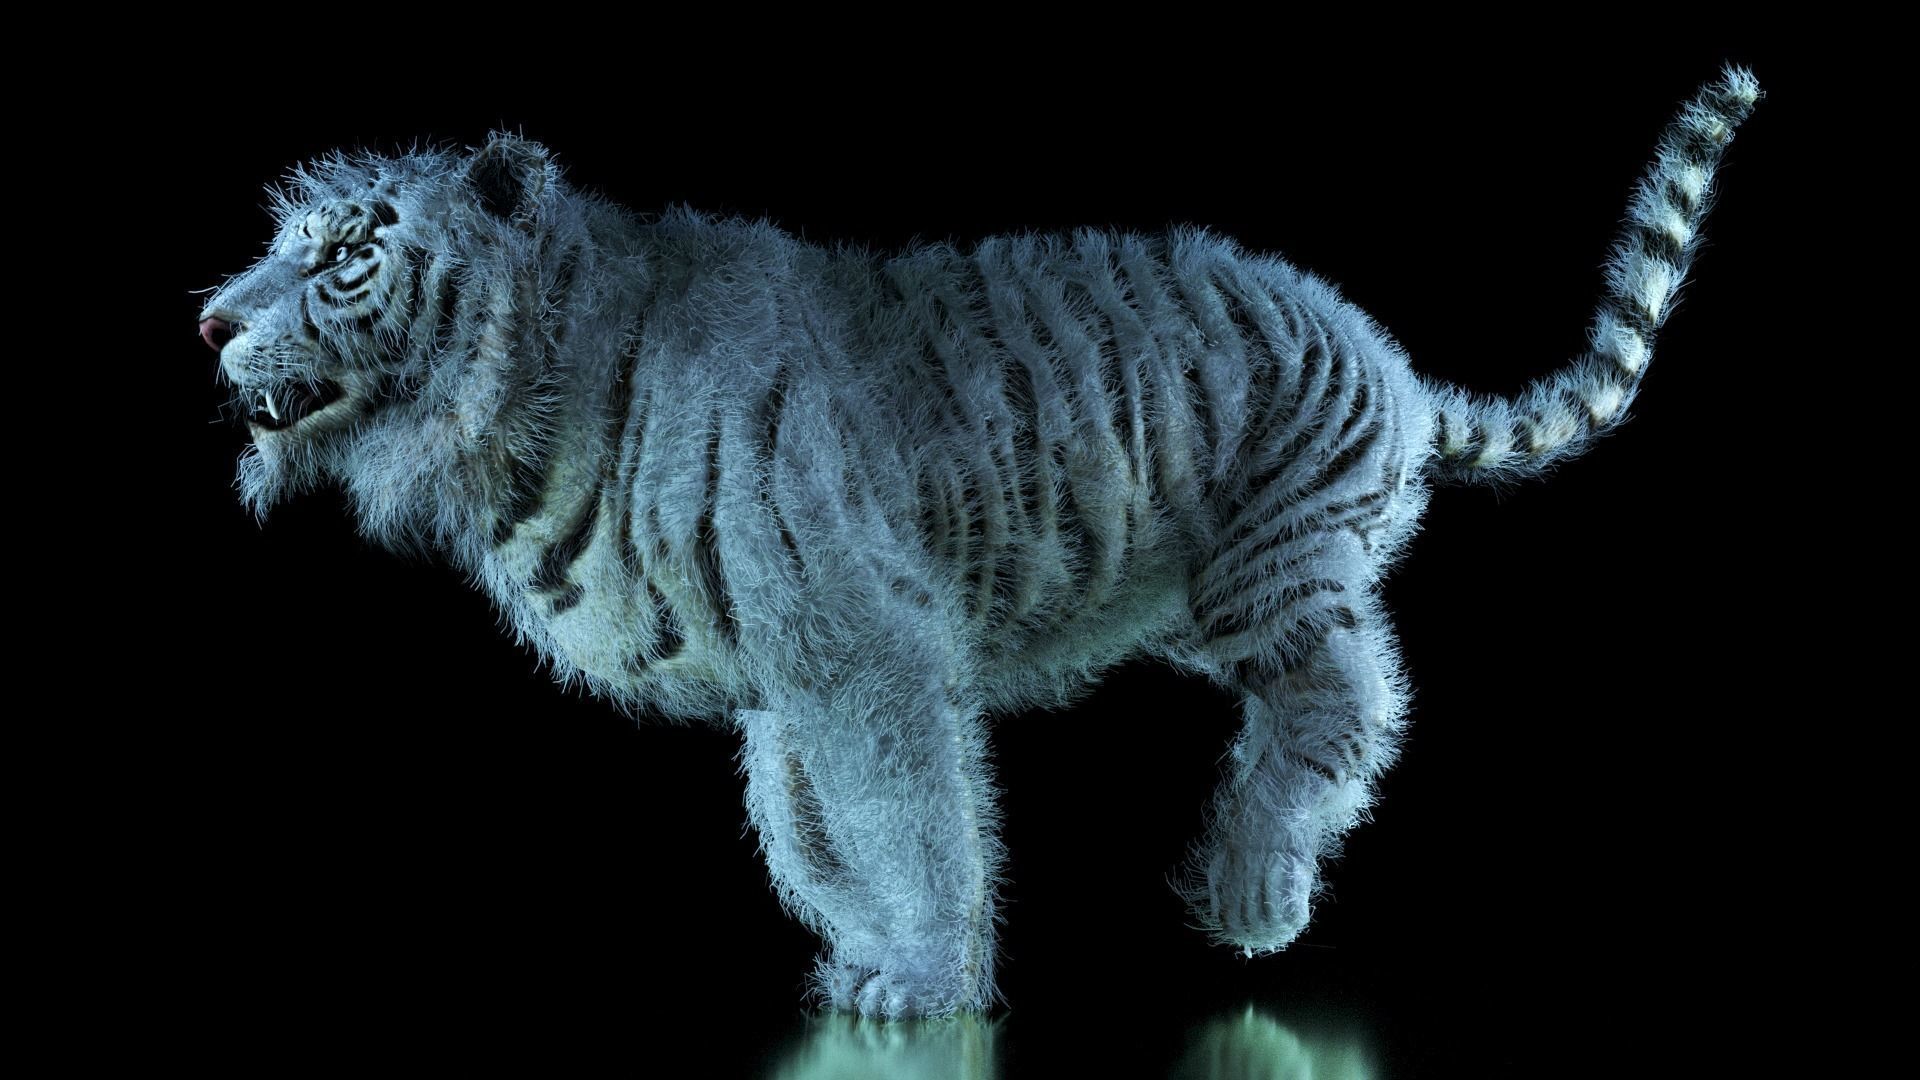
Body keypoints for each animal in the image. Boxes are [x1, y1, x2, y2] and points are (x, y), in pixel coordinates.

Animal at [195, 66, 1761, 1020]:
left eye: (348, 255)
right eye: (283, 242)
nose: (208, 320)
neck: (528, 391)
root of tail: (1389, 356)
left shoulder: (863, 651)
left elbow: (911, 815)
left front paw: (931, 982)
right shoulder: (788, 682)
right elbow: (810, 831)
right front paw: (867, 959)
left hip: (1274, 571)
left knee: (1349, 700)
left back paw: (1252, 887)